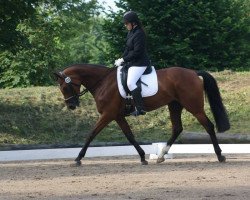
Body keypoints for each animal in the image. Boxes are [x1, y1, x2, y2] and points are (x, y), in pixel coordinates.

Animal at [54, 63, 230, 166]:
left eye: (64, 87)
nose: (71, 105)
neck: (103, 82)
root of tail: (194, 73)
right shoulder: (117, 116)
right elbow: (130, 136)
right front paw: (143, 157)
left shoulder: (107, 114)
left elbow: (91, 134)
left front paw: (78, 158)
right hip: (174, 105)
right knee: (177, 128)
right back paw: (161, 156)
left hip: (194, 107)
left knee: (208, 126)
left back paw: (220, 156)